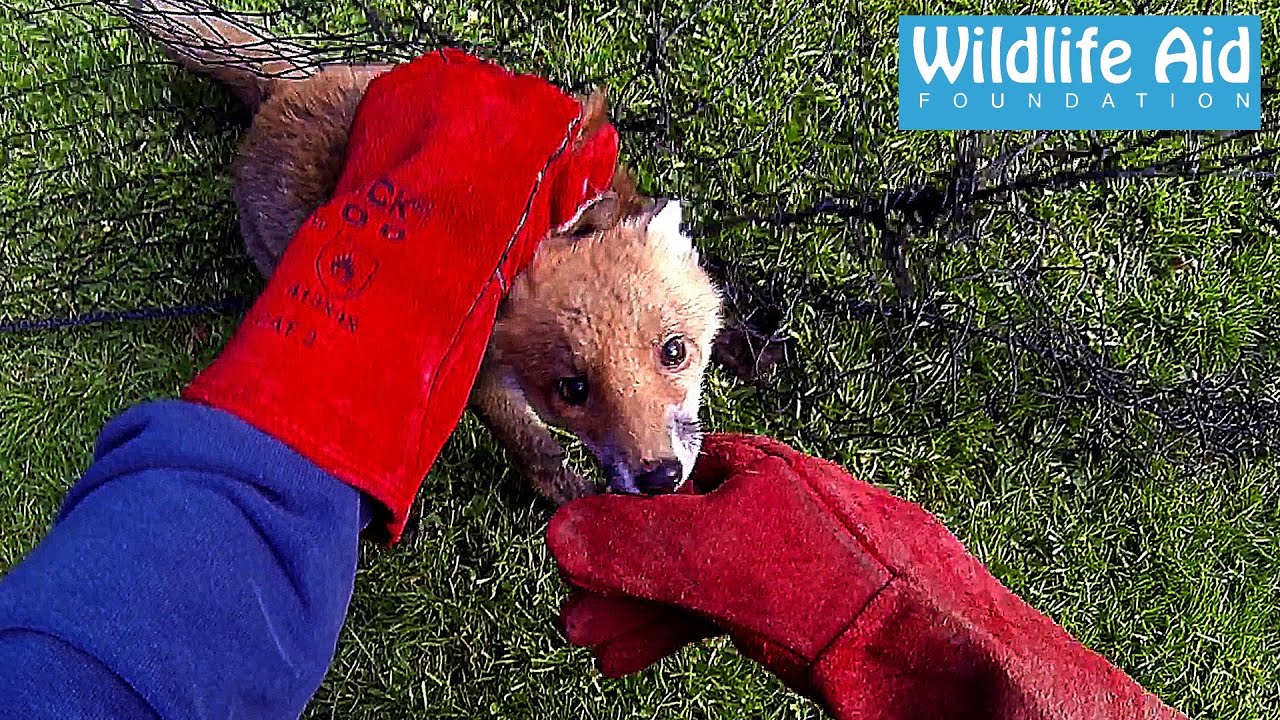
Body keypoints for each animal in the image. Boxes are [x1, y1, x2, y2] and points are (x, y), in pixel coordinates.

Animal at [119, 0, 725, 503]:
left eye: (675, 351)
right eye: (573, 389)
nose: (659, 477)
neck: (548, 211)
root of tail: (283, 91)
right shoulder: (478, 371)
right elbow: (534, 446)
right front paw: (567, 497)